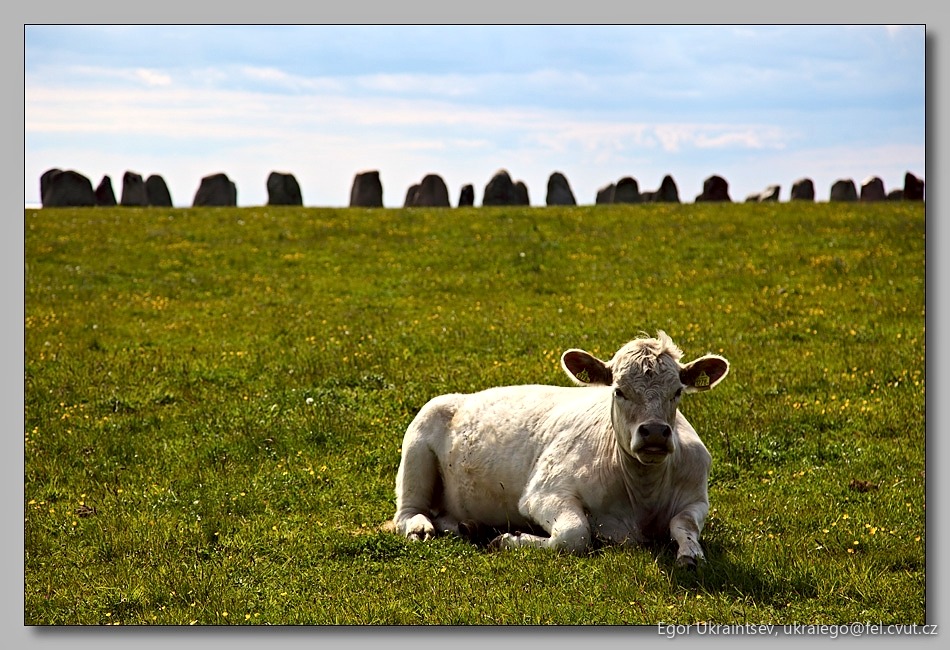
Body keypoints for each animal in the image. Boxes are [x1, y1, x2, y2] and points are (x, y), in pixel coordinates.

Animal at [384, 332, 729, 568]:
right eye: (619, 391)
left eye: (677, 392)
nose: (655, 432)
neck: (642, 498)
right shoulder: (544, 492)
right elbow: (574, 535)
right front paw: (508, 540)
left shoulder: (696, 497)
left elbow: (684, 525)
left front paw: (690, 554)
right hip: (417, 447)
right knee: (408, 512)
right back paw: (422, 528)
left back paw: (467, 526)